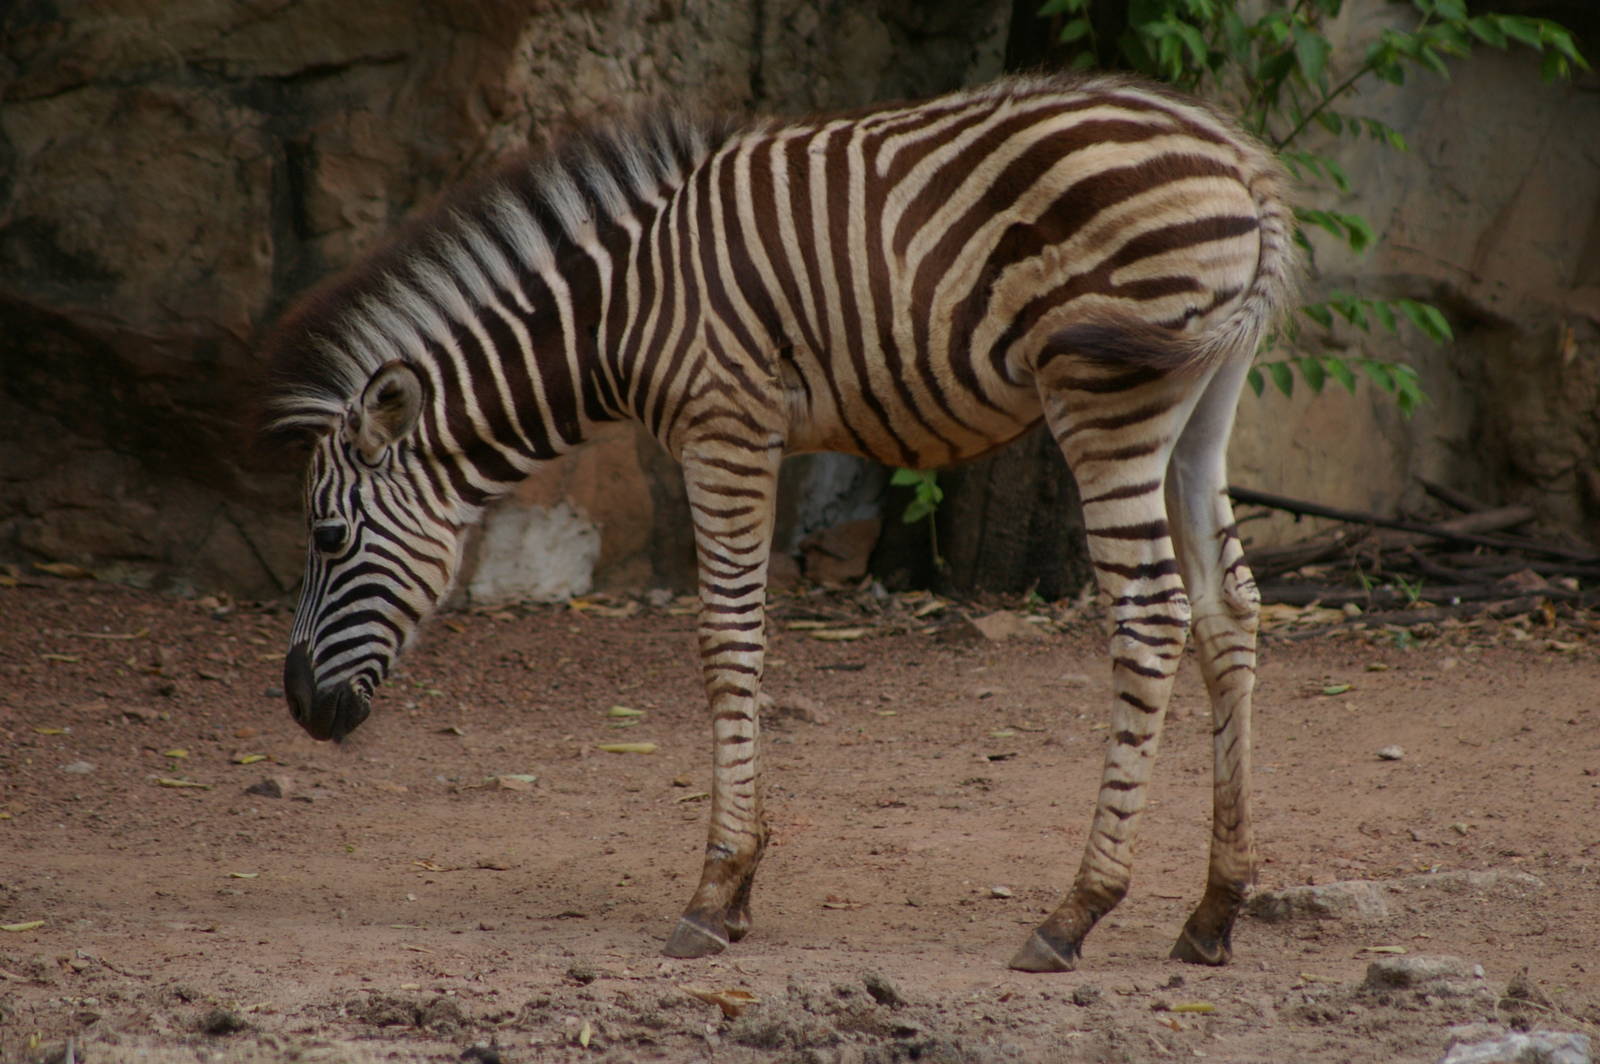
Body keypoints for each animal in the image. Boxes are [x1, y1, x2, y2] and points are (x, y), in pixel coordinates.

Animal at [265, 72, 1296, 972]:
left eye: (327, 538)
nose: (301, 706)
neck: (616, 313)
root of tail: (1240, 160)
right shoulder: (750, 437)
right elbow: (750, 633)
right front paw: (744, 885)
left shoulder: (724, 428)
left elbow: (727, 638)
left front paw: (715, 892)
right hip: (1202, 398)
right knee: (1231, 609)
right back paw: (1215, 911)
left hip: (1104, 396)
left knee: (1152, 618)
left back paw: (1073, 914)